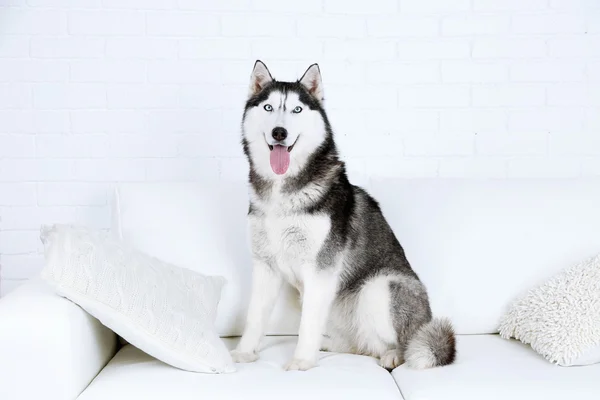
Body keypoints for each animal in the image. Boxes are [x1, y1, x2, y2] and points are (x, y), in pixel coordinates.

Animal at [232, 61, 458, 370]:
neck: (283, 190)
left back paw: (394, 355)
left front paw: (302, 360)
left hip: (377, 287)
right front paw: (245, 353)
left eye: (297, 109)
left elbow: (307, 325)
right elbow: (255, 317)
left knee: (405, 345)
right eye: (268, 107)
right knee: (360, 346)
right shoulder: (265, 265)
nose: (279, 132)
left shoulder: (320, 270)